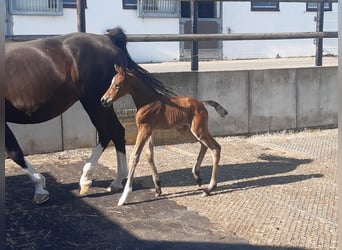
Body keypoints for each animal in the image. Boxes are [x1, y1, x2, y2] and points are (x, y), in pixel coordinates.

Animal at [101, 66, 227, 205]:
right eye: (111, 83)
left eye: (117, 84)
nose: (104, 100)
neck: (148, 101)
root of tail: (202, 103)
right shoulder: (150, 130)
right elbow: (149, 155)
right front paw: (158, 187)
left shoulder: (144, 130)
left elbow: (135, 157)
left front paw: (124, 196)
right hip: (187, 130)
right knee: (204, 145)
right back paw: (197, 175)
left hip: (197, 129)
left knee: (215, 148)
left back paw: (209, 188)